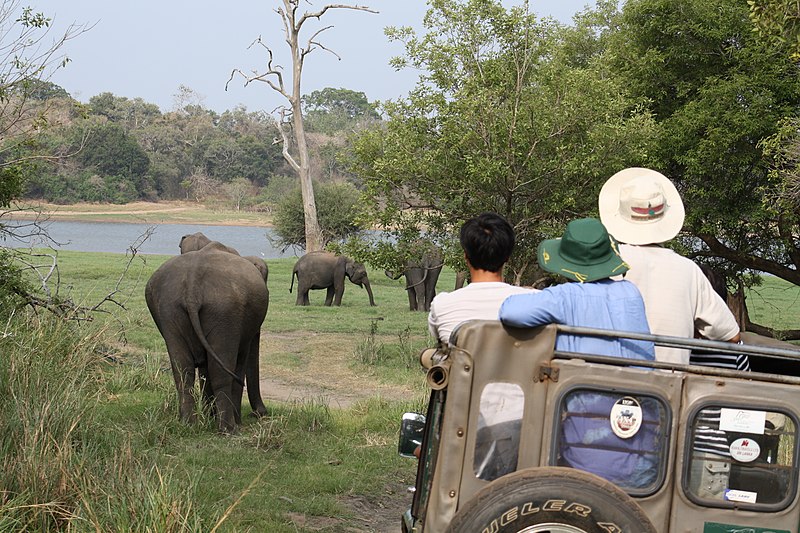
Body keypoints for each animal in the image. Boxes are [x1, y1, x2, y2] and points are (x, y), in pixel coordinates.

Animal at [145, 243, 268, 430]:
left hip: (169, 309)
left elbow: (204, 367)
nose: (260, 414)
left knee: (182, 369)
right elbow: (239, 361)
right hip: (224, 311)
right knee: (222, 370)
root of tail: (192, 283)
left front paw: (209, 417)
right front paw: (233, 421)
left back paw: (188, 424)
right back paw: (228, 429)